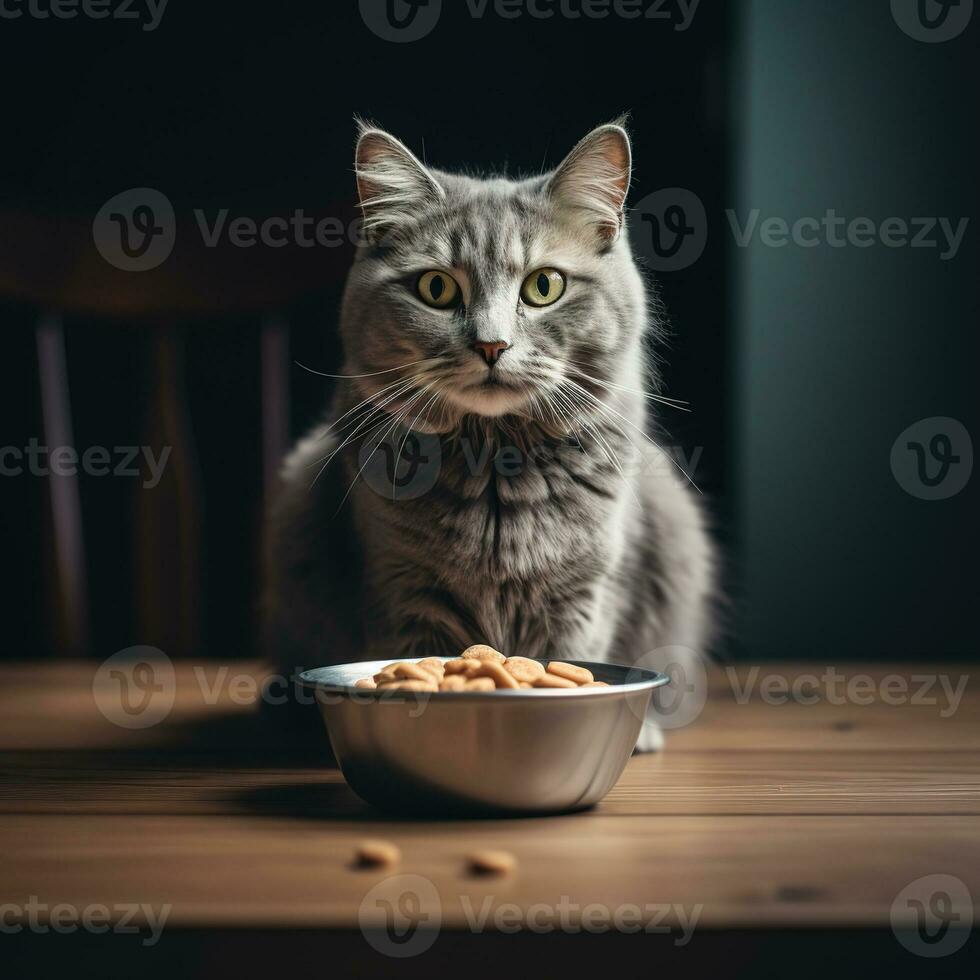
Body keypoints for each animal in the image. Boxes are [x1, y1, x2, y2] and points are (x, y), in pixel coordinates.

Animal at [268, 122, 712, 752]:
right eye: (436, 288)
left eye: (544, 286)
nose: (491, 344)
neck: (495, 471)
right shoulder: (401, 585)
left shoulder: (584, 595)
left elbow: (572, 660)